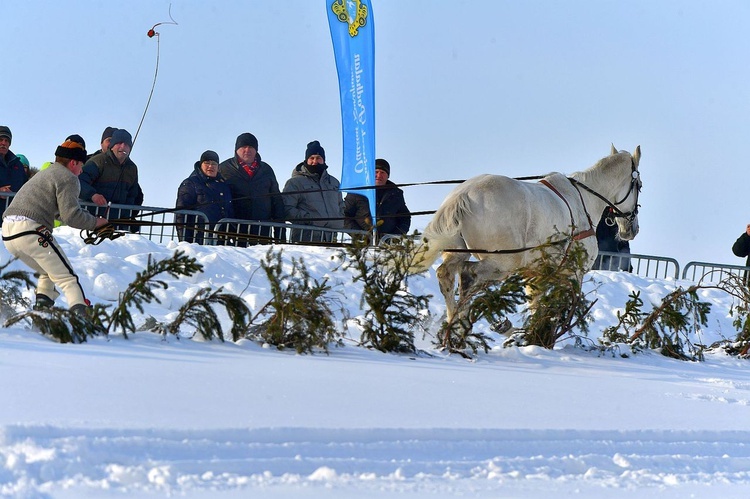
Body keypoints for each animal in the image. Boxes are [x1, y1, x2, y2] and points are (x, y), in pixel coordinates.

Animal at [412, 145, 640, 324]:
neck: (583, 199)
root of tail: (462, 196)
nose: (632, 229)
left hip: (459, 251)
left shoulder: (536, 273)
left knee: (446, 274)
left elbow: (536, 308)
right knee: (468, 275)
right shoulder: (575, 272)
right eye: (639, 185)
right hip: (504, 262)